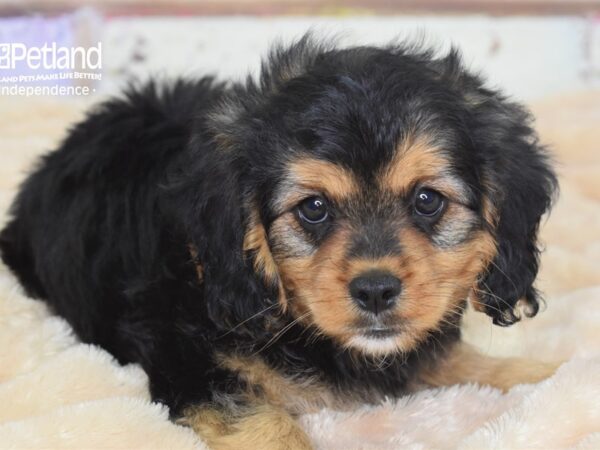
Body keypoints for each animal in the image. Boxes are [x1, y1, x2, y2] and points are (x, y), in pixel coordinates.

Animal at [2, 36, 560, 450]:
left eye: (427, 200)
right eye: (313, 208)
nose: (376, 291)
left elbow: (455, 360)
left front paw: (544, 372)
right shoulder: (189, 361)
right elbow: (266, 423)